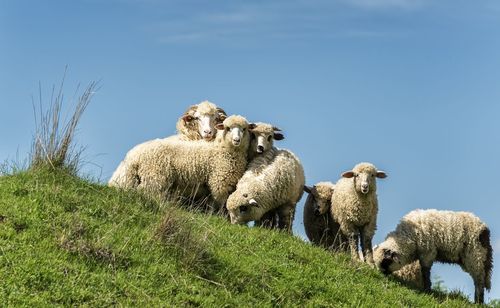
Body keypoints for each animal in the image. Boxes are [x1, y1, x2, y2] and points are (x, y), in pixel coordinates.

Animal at [108, 115, 252, 212]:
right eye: (228, 128)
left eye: (244, 129)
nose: (237, 140)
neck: (222, 147)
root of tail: (134, 153)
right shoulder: (219, 181)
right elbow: (219, 203)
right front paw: (218, 216)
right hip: (155, 176)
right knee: (145, 192)